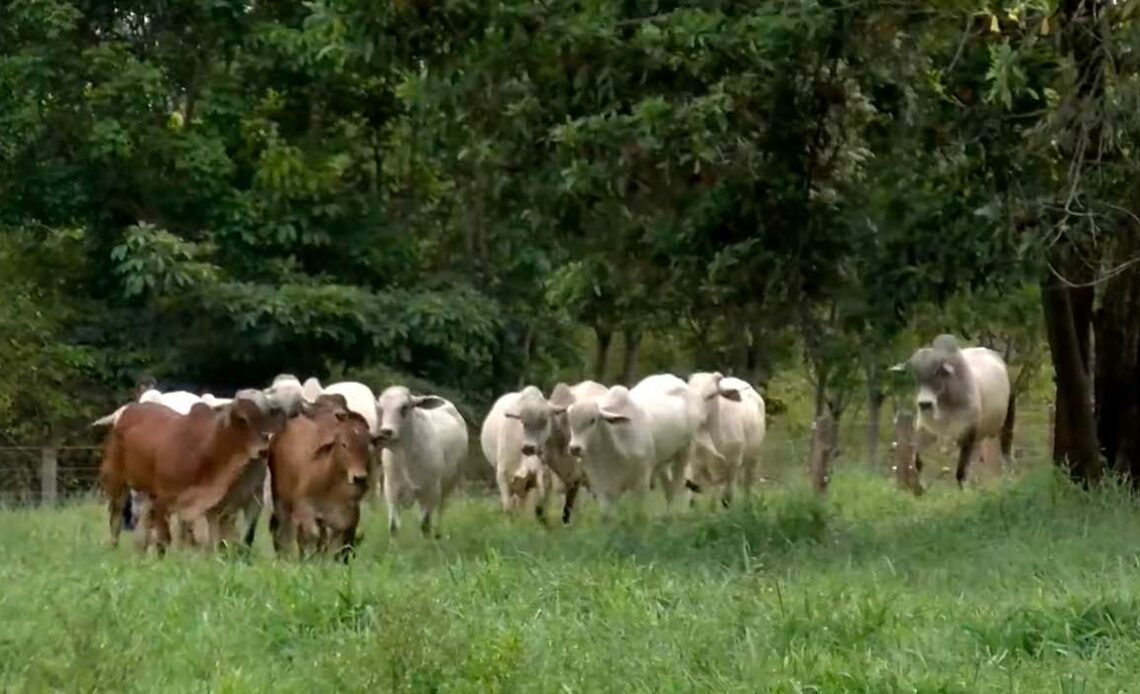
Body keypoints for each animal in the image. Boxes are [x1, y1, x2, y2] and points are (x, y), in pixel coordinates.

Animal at [99, 387, 285, 553]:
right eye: (242, 419)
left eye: (265, 415)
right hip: (117, 481)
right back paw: (115, 547)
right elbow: (167, 538)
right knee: (116, 517)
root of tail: (129, 410)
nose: (264, 449)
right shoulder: (167, 499)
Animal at [267, 392, 371, 560]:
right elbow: (310, 541)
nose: (359, 478)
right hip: (281, 503)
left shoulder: (346, 518)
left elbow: (338, 548)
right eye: (344, 444)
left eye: (368, 443)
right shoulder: (305, 512)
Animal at [371, 385, 465, 535]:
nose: (385, 432)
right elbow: (393, 527)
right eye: (380, 408)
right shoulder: (391, 490)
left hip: (449, 484)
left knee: (441, 509)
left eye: (404, 407)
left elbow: (425, 526)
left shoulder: (431, 492)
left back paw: (438, 533)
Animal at [684, 371, 766, 505]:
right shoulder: (696, 465)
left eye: (711, 395)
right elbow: (696, 500)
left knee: (747, 486)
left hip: (753, 459)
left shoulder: (733, 464)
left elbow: (727, 499)